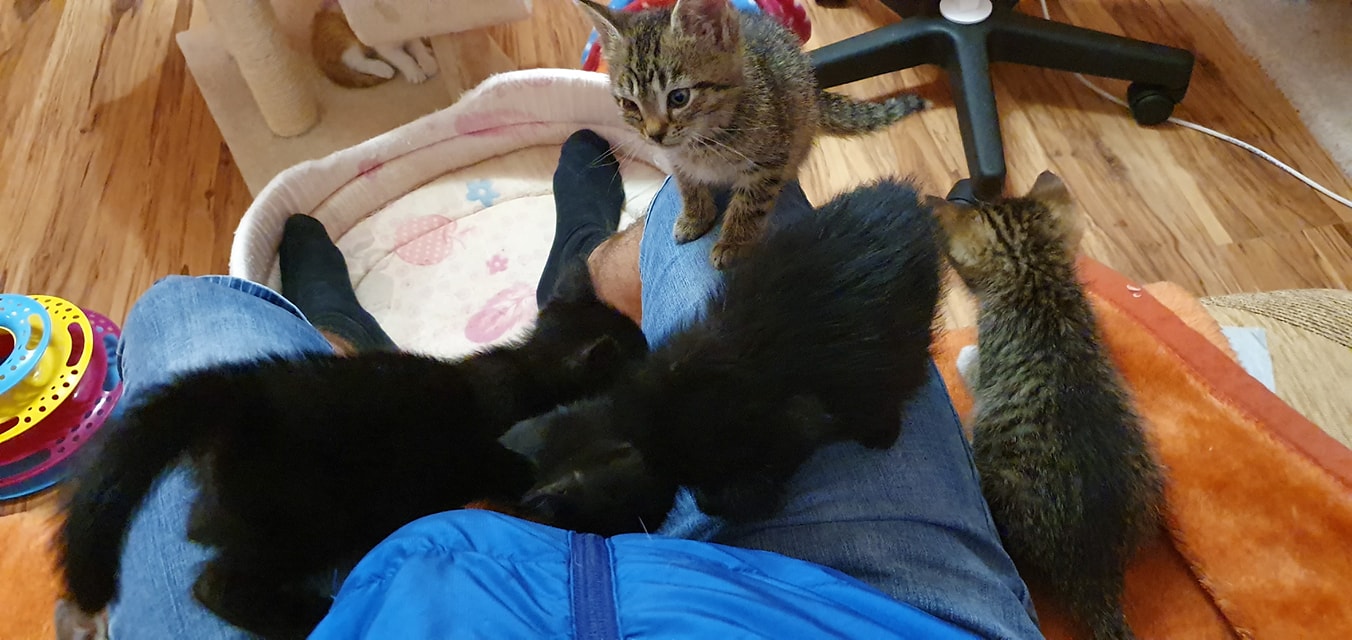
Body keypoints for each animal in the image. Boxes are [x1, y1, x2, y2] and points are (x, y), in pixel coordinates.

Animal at [56, 261, 648, 640]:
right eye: (637, 352)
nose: (655, 348)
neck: (524, 369)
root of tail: (237, 395)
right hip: (309, 516)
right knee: (215, 583)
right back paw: (310, 614)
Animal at [576, 0, 928, 269]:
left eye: (678, 98)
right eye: (628, 104)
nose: (654, 135)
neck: (704, 140)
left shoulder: (769, 161)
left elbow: (749, 203)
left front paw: (733, 242)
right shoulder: (677, 162)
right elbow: (689, 186)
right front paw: (695, 217)